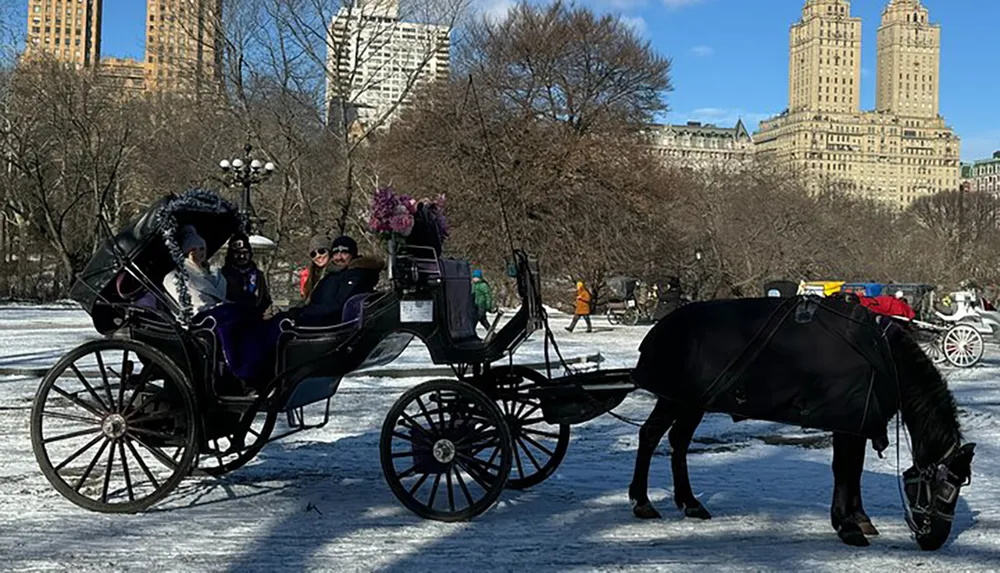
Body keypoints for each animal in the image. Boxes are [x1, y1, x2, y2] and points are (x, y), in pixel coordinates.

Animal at [628, 294, 972, 548]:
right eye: (943, 488)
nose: (935, 539)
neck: (884, 355)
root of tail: (663, 326)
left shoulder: (856, 423)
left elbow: (855, 471)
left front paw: (860, 518)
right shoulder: (846, 422)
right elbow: (844, 471)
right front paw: (846, 525)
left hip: (692, 402)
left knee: (678, 441)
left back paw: (689, 502)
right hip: (674, 399)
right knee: (650, 435)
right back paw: (642, 501)